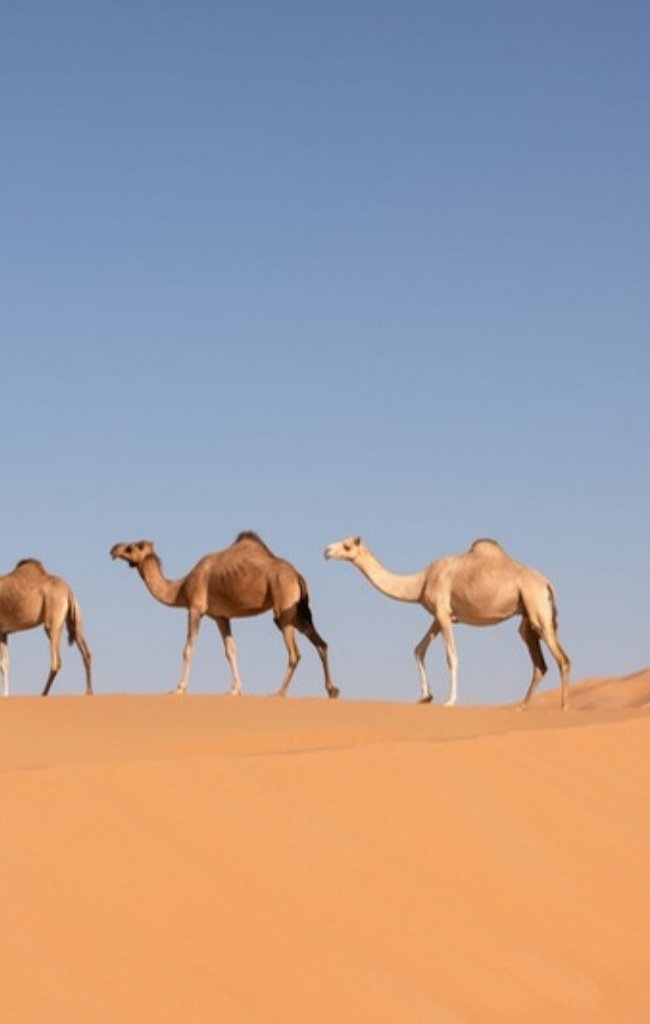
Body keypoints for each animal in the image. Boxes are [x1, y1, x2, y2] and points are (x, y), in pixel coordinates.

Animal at [0, 559, 93, 696]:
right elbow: (6, 664)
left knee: (56, 662)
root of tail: (68, 592)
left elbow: (2, 664)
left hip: (52, 623)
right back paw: (89, 692)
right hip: (74, 622)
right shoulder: (4, 632)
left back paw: (43, 693)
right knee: (86, 653)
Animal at [110, 532, 339, 698]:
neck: (181, 588)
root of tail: (298, 576)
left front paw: (179, 688)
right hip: (298, 612)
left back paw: (279, 693)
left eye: (131, 547)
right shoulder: (221, 617)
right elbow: (231, 651)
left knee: (294, 653)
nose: (113, 548)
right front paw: (235, 690)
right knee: (321, 643)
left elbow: (188, 649)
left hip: (283, 609)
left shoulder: (195, 608)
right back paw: (332, 690)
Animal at [324, 536, 570, 709]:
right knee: (539, 663)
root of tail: (545, 582)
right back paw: (521, 707)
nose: (326, 550)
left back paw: (564, 707)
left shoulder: (443, 612)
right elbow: (418, 649)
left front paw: (450, 700)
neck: (421, 581)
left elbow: (451, 657)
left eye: (347, 546)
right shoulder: (440, 615)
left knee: (562, 659)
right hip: (527, 616)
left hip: (536, 604)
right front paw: (425, 696)